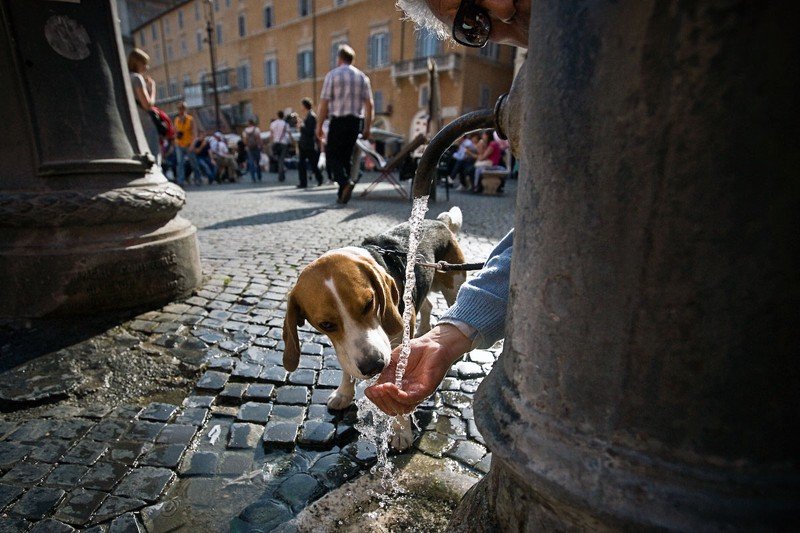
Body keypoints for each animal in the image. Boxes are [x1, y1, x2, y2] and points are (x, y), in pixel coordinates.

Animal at [282, 206, 466, 446]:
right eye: (326, 324)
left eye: (369, 303)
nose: (373, 366)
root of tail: (440, 222)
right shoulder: (345, 348)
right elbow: (347, 365)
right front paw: (344, 393)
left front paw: (400, 429)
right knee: (427, 305)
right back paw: (424, 329)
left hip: (453, 286)